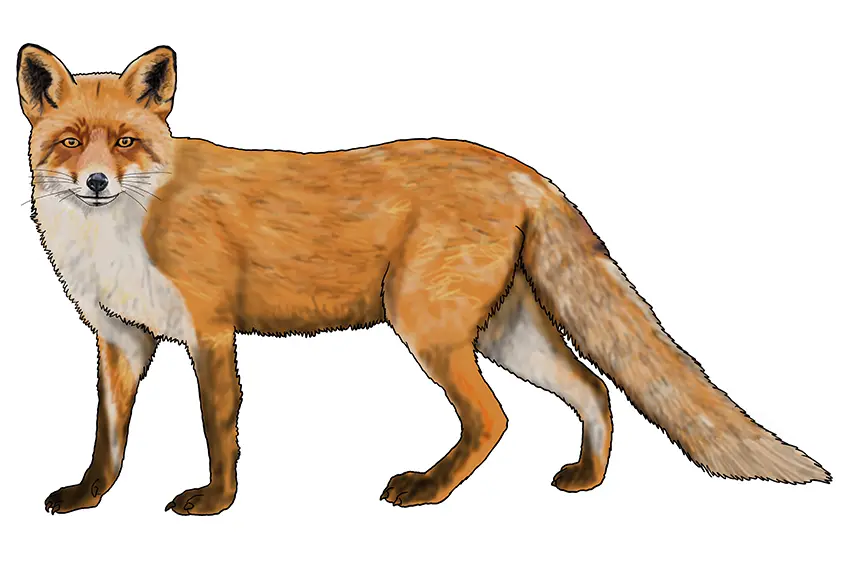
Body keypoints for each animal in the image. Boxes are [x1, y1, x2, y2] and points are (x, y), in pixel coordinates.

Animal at [17, 43, 830, 516]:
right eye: (70, 141)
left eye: (126, 141)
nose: (95, 181)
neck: (118, 234)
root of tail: (521, 169)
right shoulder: (122, 339)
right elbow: (108, 433)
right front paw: (90, 496)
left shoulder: (210, 330)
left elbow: (219, 426)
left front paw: (216, 502)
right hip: (506, 334)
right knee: (594, 389)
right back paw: (586, 480)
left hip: (426, 325)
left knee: (495, 418)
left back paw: (428, 491)